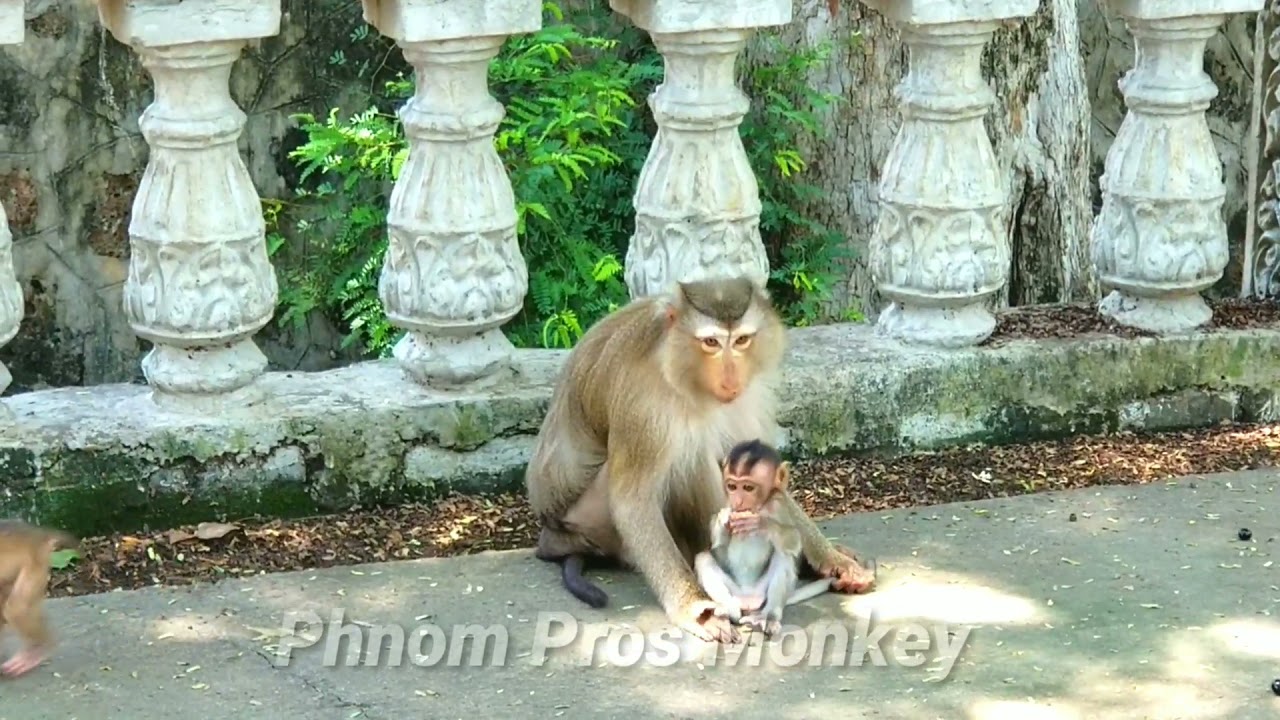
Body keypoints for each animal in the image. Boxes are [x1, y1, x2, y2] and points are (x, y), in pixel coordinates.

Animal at [694, 439, 832, 638]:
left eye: (748, 487)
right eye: (732, 486)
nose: (738, 501)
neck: (759, 506)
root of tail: (748, 598)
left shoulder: (779, 503)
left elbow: (794, 539)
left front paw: (761, 523)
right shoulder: (727, 502)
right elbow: (716, 547)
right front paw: (723, 519)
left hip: (763, 593)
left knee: (783, 557)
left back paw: (768, 616)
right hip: (734, 591)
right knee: (703, 558)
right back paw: (729, 609)